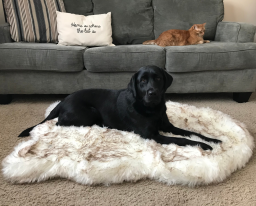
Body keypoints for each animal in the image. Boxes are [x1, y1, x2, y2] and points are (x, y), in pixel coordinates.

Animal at [19, 65, 221, 150]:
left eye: (157, 78)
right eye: (142, 81)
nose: (152, 93)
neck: (151, 109)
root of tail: (63, 100)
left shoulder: (167, 126)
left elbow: (191, 132)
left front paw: (214, 140)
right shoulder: (152, 135)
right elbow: (183, 140)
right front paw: (204, 146)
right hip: (89, 113)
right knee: (59, 123)